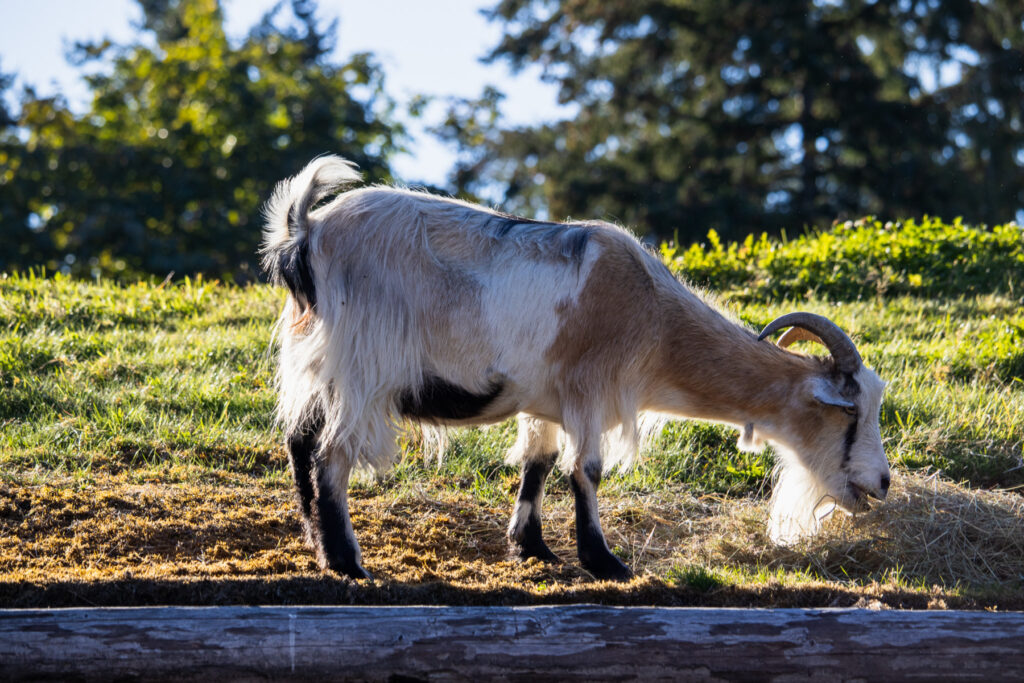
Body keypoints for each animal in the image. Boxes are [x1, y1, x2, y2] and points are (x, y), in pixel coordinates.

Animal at [262, 156, 888, 581]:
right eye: (849, 412)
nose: (881, 483)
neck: (655, 319)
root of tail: (306, 233)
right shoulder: (589, 388)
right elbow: (585, 470)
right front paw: (604, 561)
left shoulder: (545, 397)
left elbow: (537, 463)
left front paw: (531, 547)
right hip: (362, 365)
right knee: (331, 455)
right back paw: (348, 562)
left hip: (313, 360)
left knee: (299, 441)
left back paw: (317, 544)